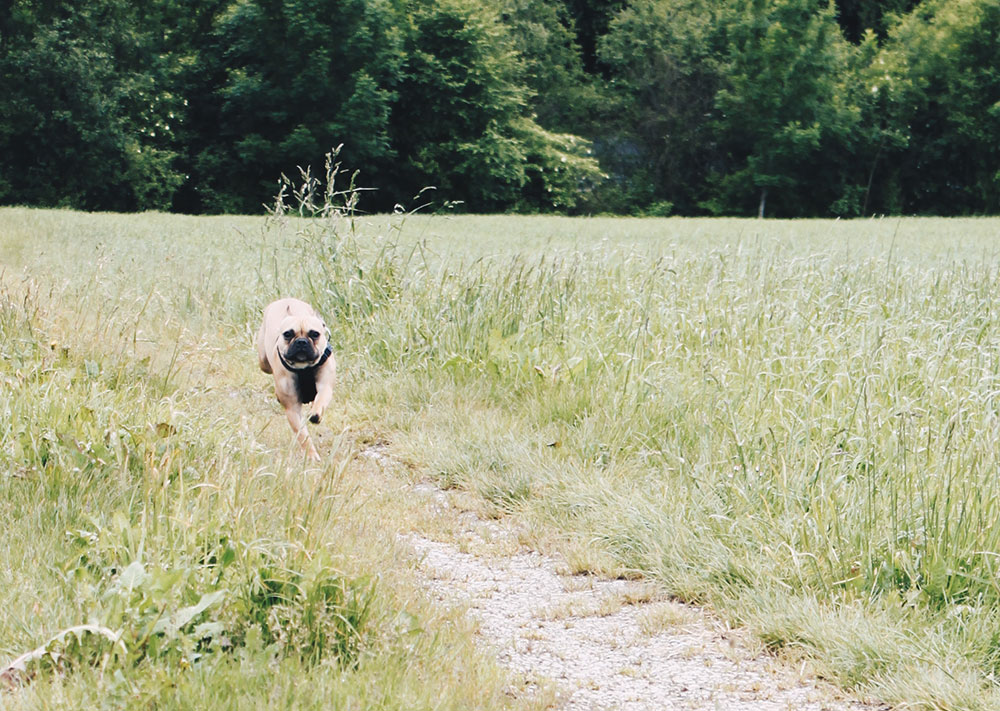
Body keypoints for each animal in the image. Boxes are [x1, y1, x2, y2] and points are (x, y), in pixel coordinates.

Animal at [256, 296, 338, 458]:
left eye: (315, 334)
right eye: (288, 334)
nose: (301, 342)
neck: (303, 367)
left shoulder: (325, 386)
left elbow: (321, 399)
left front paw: (315, 413)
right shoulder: (292, 409)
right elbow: (303, 435)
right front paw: (311, 455)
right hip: (263, 361)